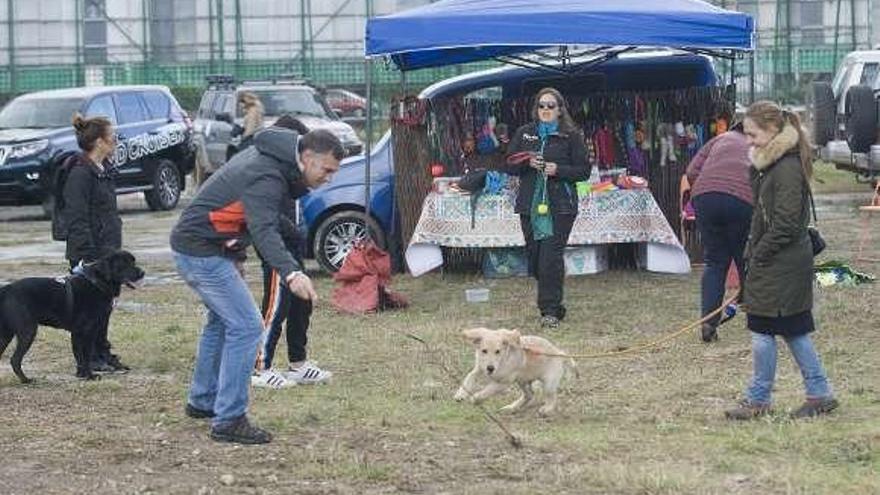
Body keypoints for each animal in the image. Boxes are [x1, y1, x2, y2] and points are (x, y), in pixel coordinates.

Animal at [0, 252, 144, 384]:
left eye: (133, 261)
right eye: (125, 263)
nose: (143, 272)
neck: (96, 283)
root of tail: (6, 289)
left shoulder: (79, 333)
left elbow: (79, 355)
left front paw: (81, 374)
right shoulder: (87, 332)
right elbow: (85, 356)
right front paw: (90, 376)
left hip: (6, 335)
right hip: (28, 331)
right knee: (15, 360)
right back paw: (26, 380)